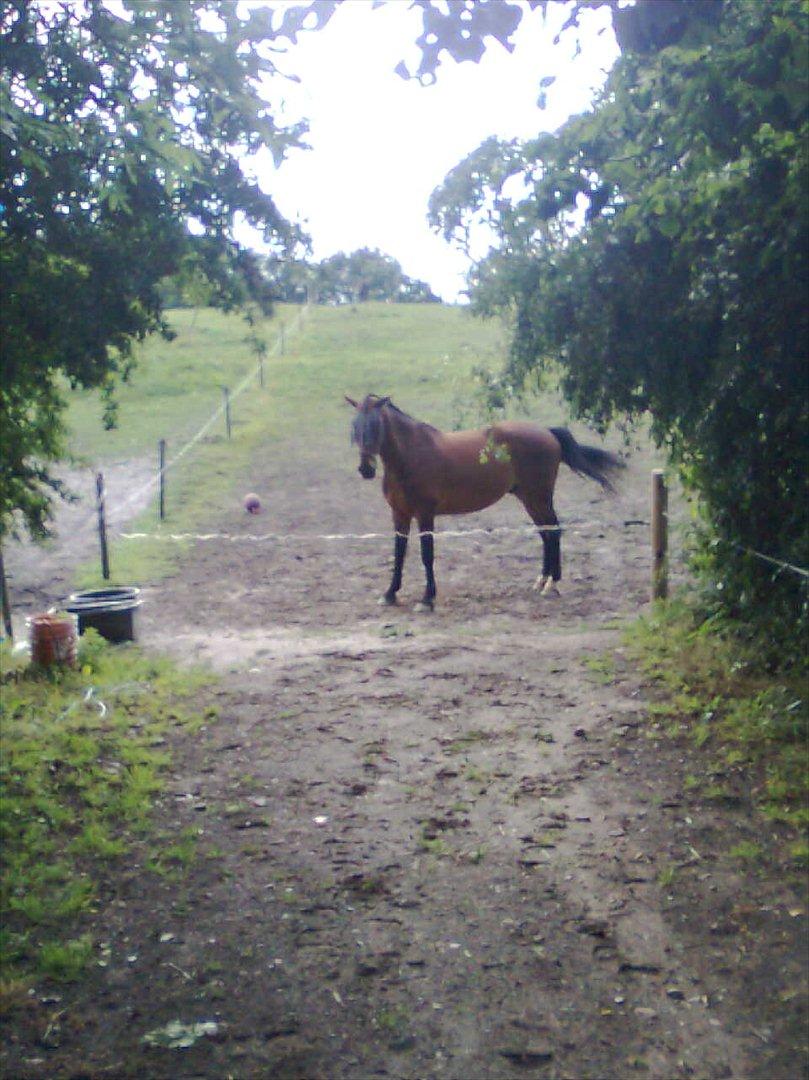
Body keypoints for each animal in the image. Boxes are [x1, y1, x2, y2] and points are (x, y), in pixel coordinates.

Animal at [343, 397, 622, 613]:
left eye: (375, 425)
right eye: (355, 426)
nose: (365, 469)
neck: (410, 456)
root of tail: (547, 432)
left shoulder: (425, 515)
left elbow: (426, 554)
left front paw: (427, 599)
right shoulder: (399, 514)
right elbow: (399, 554)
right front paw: (390, 594)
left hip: (539, 496)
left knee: (553, 531)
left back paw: (552, 584)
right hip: (529, 498)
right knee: (546, 533)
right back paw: (542, 581)